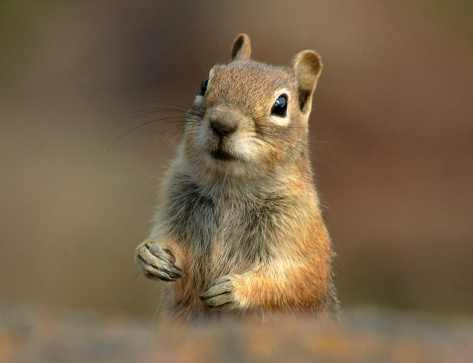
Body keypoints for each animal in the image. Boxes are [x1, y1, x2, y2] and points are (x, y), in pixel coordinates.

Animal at [135, 33, 338, 322]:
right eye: (205, 82)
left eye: (281, 105)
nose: (222, 123)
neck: (229, 185)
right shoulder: (177, 208)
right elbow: (175, 251)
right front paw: (150, 254)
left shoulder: (299, 233)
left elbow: (294, 280)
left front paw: (236, 288)